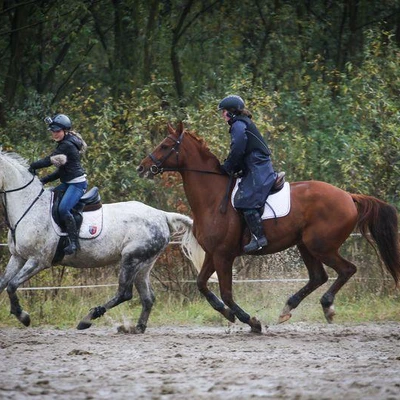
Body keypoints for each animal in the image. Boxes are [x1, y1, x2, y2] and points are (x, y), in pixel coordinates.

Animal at [0, 149, 205, 332]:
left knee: (124, 294)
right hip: (144, 264)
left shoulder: (38, 260)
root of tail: (162, 215)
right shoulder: (17, 257)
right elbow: (3, 283)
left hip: (131, 258)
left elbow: (12, 285)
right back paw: (138, 327)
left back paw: (88, 318)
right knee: (148, 298)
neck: (29, 206)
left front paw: (23, 316)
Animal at [138, 121, 400, 332]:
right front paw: (228, 314)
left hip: (321, 246)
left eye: (165, 146)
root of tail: (348, 196)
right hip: (305, 245)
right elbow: (203, 285)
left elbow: (227, 293)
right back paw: (288, 308)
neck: (212, 198)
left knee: (346, 270)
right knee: (318, 276)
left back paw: (327, 306)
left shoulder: (223, 255)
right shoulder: (213, 254)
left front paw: (250, 321)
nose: (142, 168)